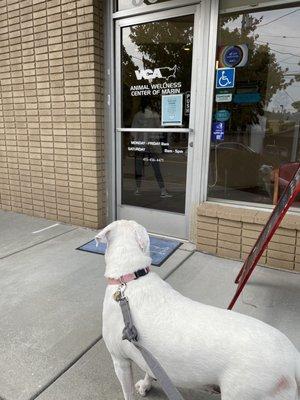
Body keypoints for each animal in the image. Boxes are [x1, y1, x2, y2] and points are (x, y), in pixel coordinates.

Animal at [96, 220, 300, 398]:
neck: (129, 278)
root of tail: (292, 358)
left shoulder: (120, 361)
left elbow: (127, 392)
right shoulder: (149, 356)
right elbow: (150, 370)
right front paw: (146, 384)